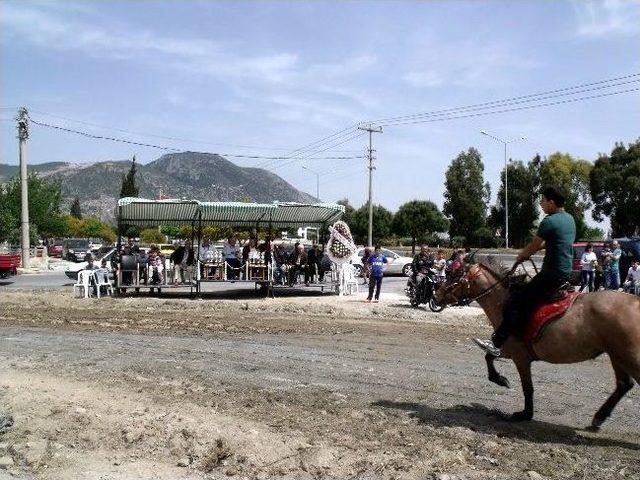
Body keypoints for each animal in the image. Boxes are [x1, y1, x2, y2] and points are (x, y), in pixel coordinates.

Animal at [436, 260, 640, 430]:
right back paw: (599, 417)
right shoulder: (507, 350)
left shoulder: (520, 357)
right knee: (623, 384)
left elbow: (528, 387)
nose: (436, 295)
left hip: (628, 356)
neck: (505, 303)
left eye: (455, 274)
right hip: (616, 355)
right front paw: (500, 379)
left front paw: (525, 413)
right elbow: (489, 357)